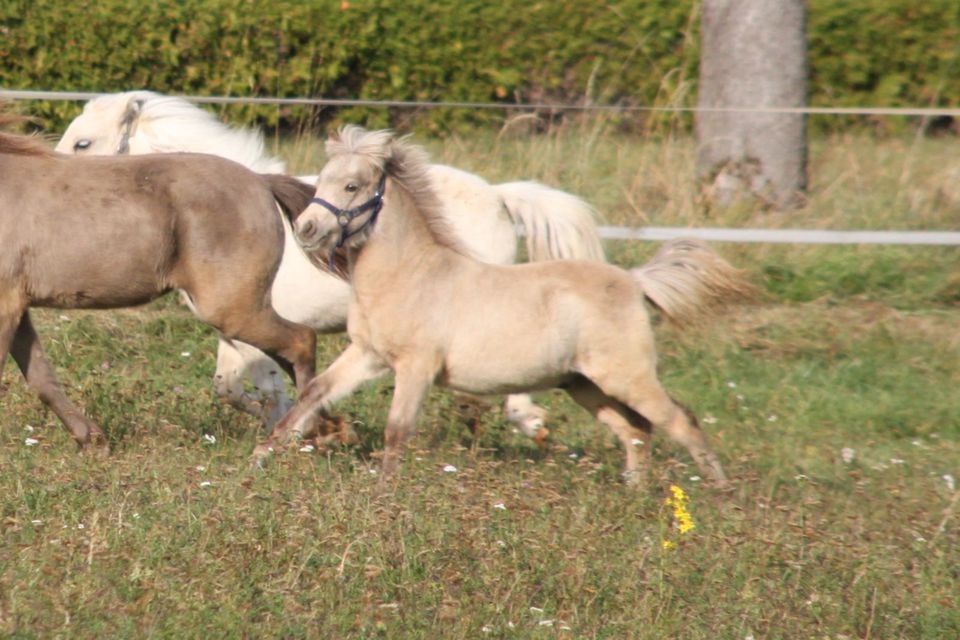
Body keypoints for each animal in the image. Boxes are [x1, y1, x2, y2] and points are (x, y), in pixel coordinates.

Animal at [0, 117, 316, 450]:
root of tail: (261, 182)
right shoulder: (17, 305)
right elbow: (41, 378)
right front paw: (93, 440)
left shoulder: (6, 304)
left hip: (230, 309)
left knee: (302, 341)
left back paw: (304, 433)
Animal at [56, 90, 604, 438]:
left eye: (83, 143)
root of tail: (498, 195)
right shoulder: (234, 327)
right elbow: (232, 387)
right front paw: (293, 424)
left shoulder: (252, 319)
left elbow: (260, 381)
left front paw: (302, 427)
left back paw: (530, 424)